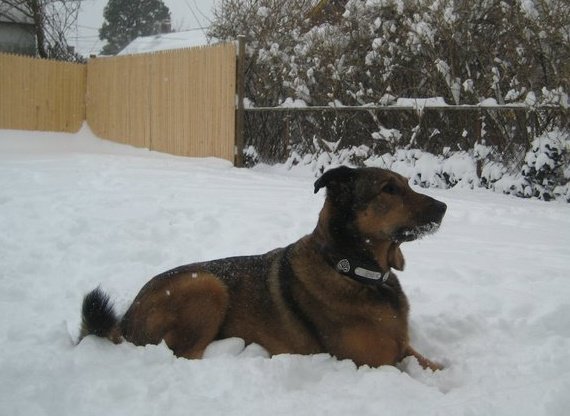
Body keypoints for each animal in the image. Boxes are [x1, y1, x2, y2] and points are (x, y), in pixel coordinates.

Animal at [79, 167, 444, 368]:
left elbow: (430, 365)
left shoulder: (403, 348)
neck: (354, 271)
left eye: (407, 184)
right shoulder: (375, 360)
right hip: (206, 286)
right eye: (389, 189)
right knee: (185, 355)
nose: (443, 207)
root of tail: (126, 320)